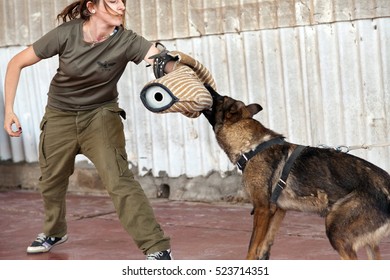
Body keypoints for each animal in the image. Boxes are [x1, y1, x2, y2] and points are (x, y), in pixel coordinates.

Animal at [201, 85, 390, 260]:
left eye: (219, 98)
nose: (207, 86)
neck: (252, 147)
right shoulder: (278, 210)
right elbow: (264, 246)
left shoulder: (262, 209)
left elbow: (251, 248)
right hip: (369, 244)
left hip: (336, 230)